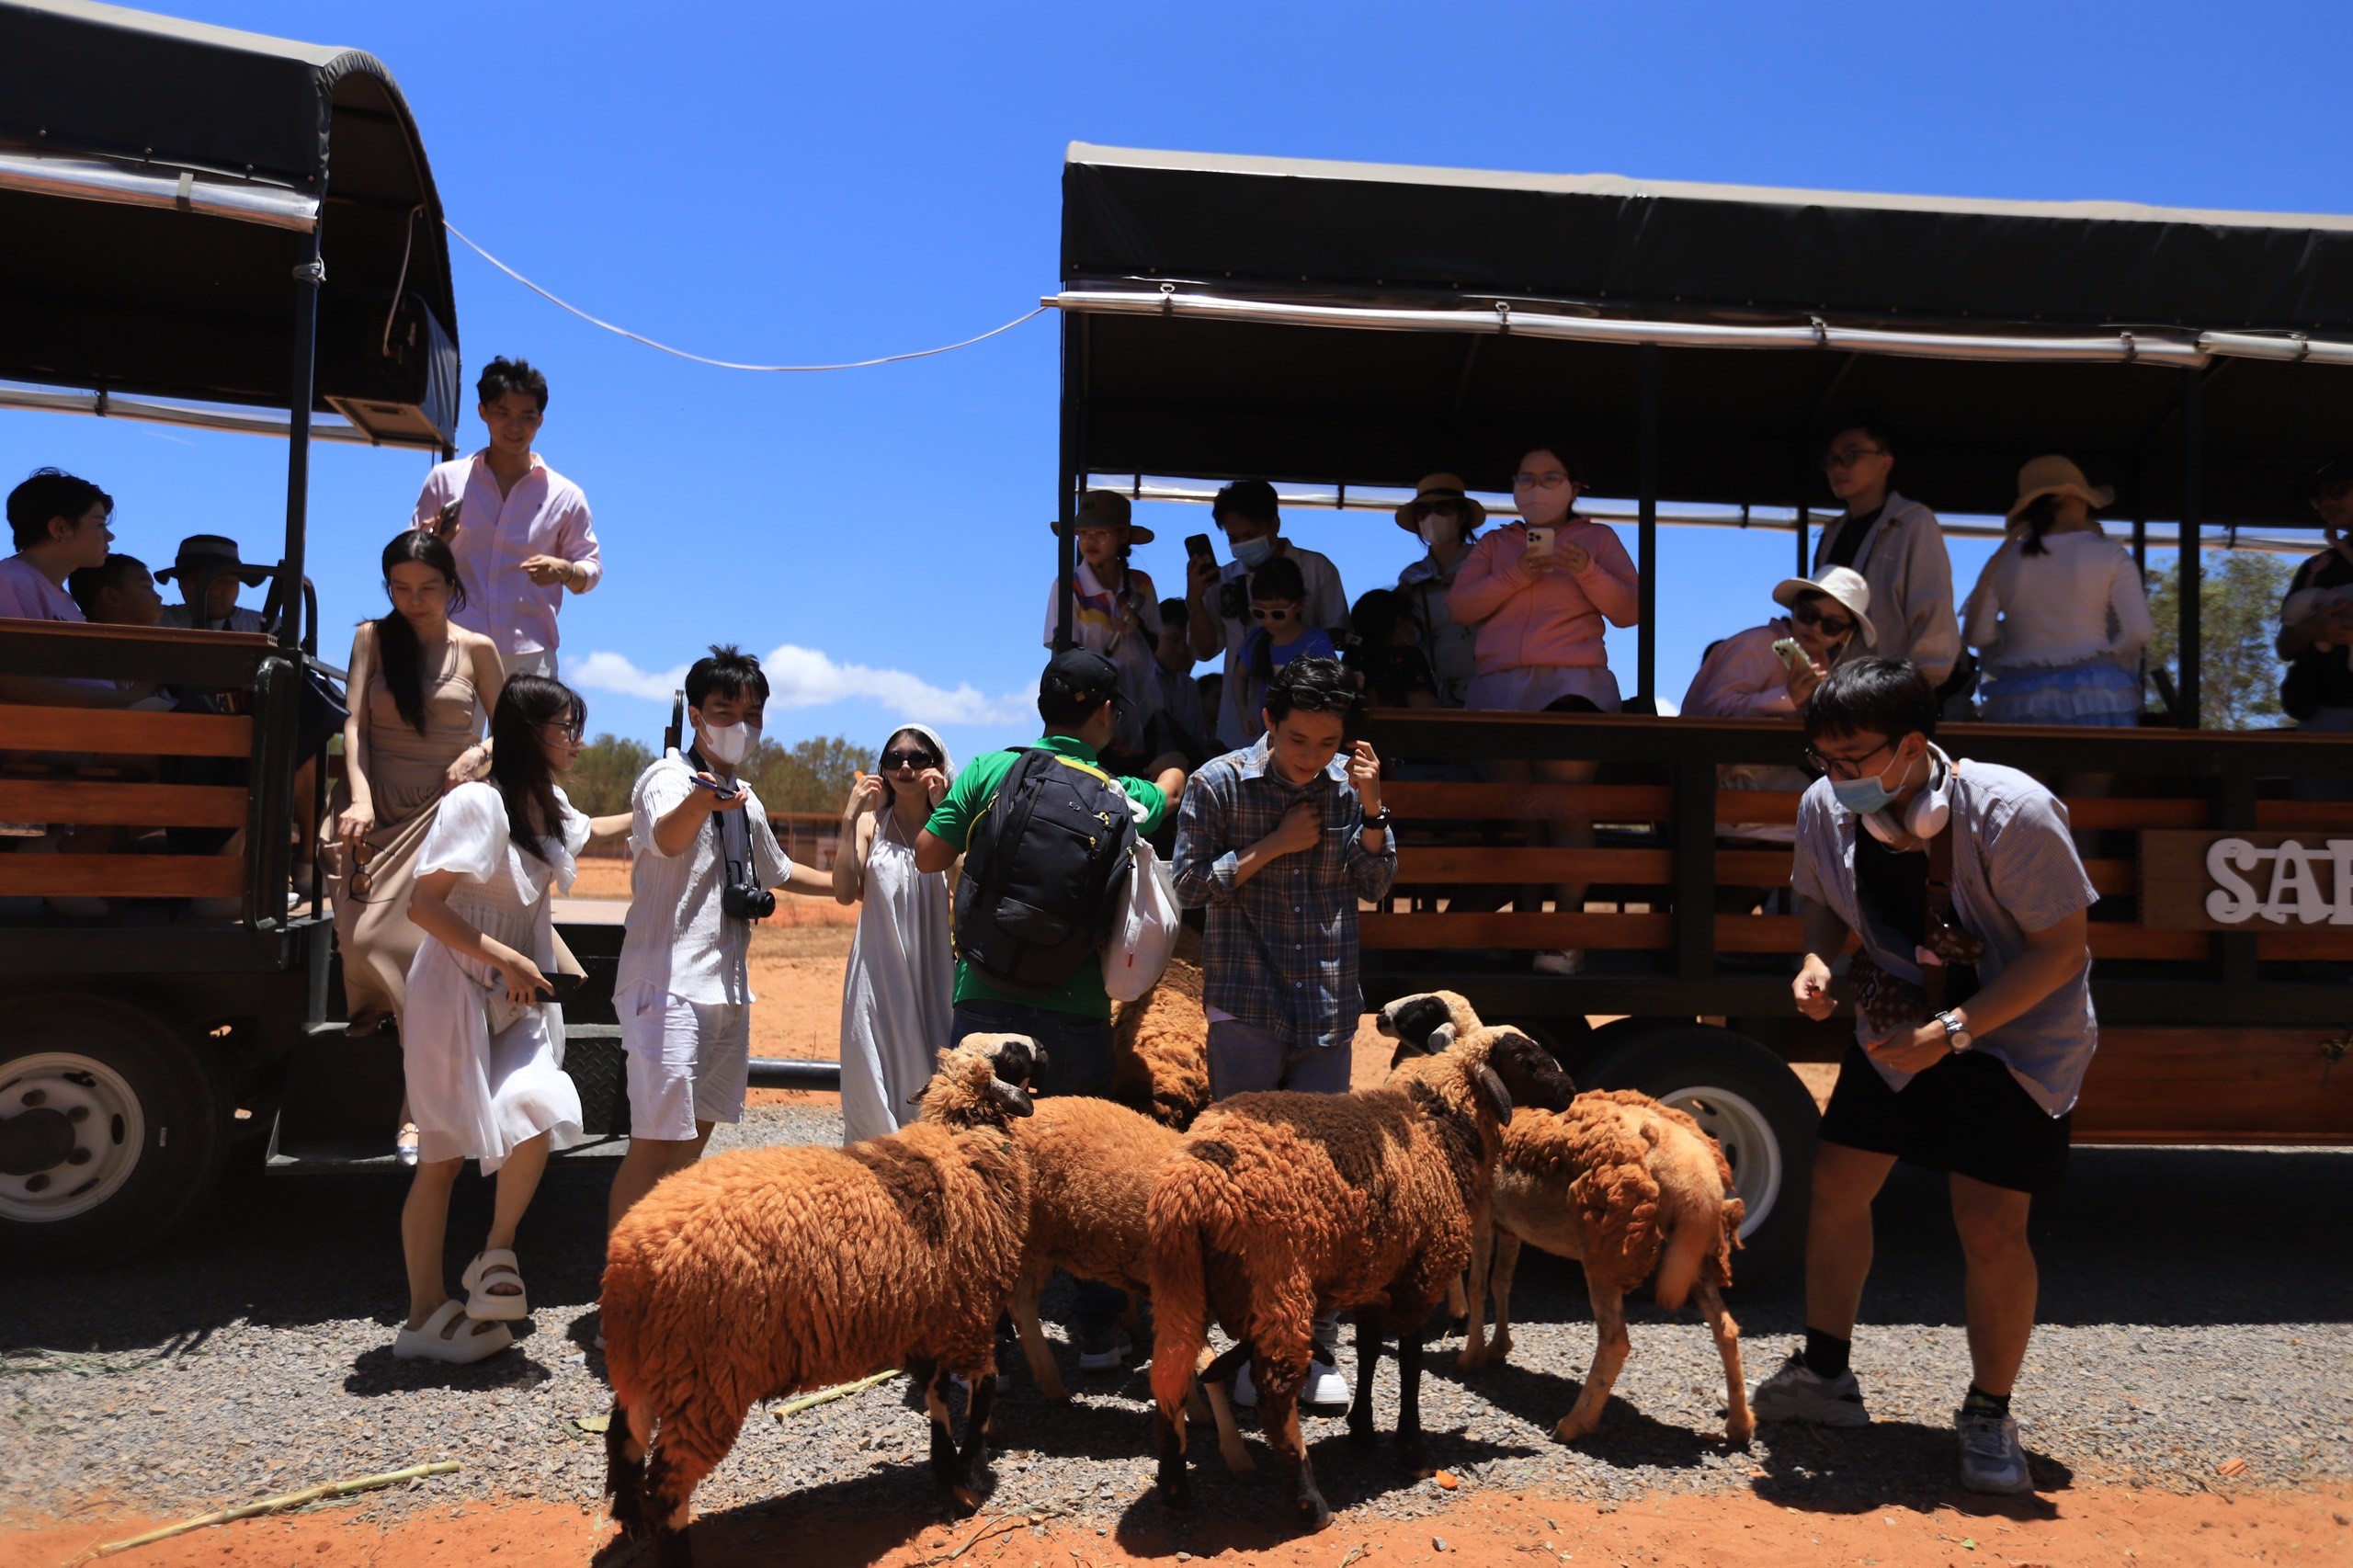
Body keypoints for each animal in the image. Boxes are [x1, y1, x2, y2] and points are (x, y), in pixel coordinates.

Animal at [602, 1030, 1044, 1553]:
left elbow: (936, 1399)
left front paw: (945, 1471)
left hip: (647, 1361)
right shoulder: (971, 1317)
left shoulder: (930, 1317)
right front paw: (970, 1481)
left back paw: (630, 1522)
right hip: (704, 1376)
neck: (959, 1144)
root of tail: (632, 1256)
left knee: (623, 1437)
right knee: (670, 1484)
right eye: (1014, 1053)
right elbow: (982, 1396)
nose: (1043, 1046)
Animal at [1143, 1021, 1572, 1516]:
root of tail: (1193, 1180)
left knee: (1170, 1373)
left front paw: (1363, 1431)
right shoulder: (1422, 1275)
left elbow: (1368, 1351)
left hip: (1177, 1280)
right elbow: (1409, 1363)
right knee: (1274, 1389)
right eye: (1525, 1060)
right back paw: (1309, 1503)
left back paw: (1175, 1490)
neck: (1442, 1124)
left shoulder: (1374, 1273)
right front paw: (1412, 1452)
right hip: (1277, 1276)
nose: (1569, 1091)